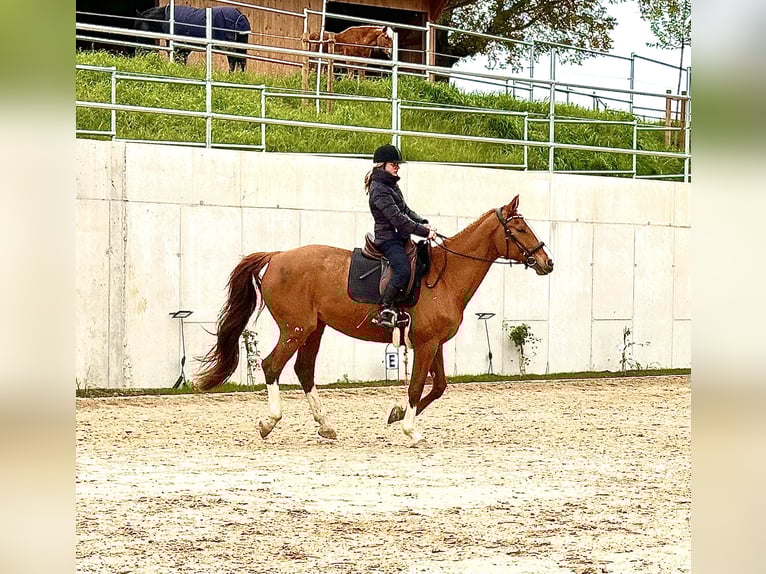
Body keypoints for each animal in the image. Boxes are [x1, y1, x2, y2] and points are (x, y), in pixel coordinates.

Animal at [195, 195, 554, 446]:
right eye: (519, 229)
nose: (547, 262)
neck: (446, 275)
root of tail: (277, 256)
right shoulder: (426, 344)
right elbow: (416, 386)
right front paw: (411, 431)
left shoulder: (434, 343)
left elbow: (438, 387)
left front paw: (396, 415)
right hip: (295, 329)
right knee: (272, 366)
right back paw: (269, 422)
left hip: (314, 329)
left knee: (304, 370)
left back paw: (326, 426)